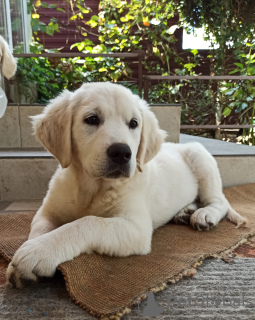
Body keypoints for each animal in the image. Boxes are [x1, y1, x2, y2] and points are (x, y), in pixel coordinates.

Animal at [6, 82, 247, 288]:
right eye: (91, 119)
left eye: (133, 123)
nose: (122, 152)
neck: (92, 188)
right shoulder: (47, 211)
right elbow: (39, 228)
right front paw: (27, 254)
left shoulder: (137, 228)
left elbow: (87, 222)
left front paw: (38, 253)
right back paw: (184, 211)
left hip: (201, 159)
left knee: (220, 202)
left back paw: (204, 215)